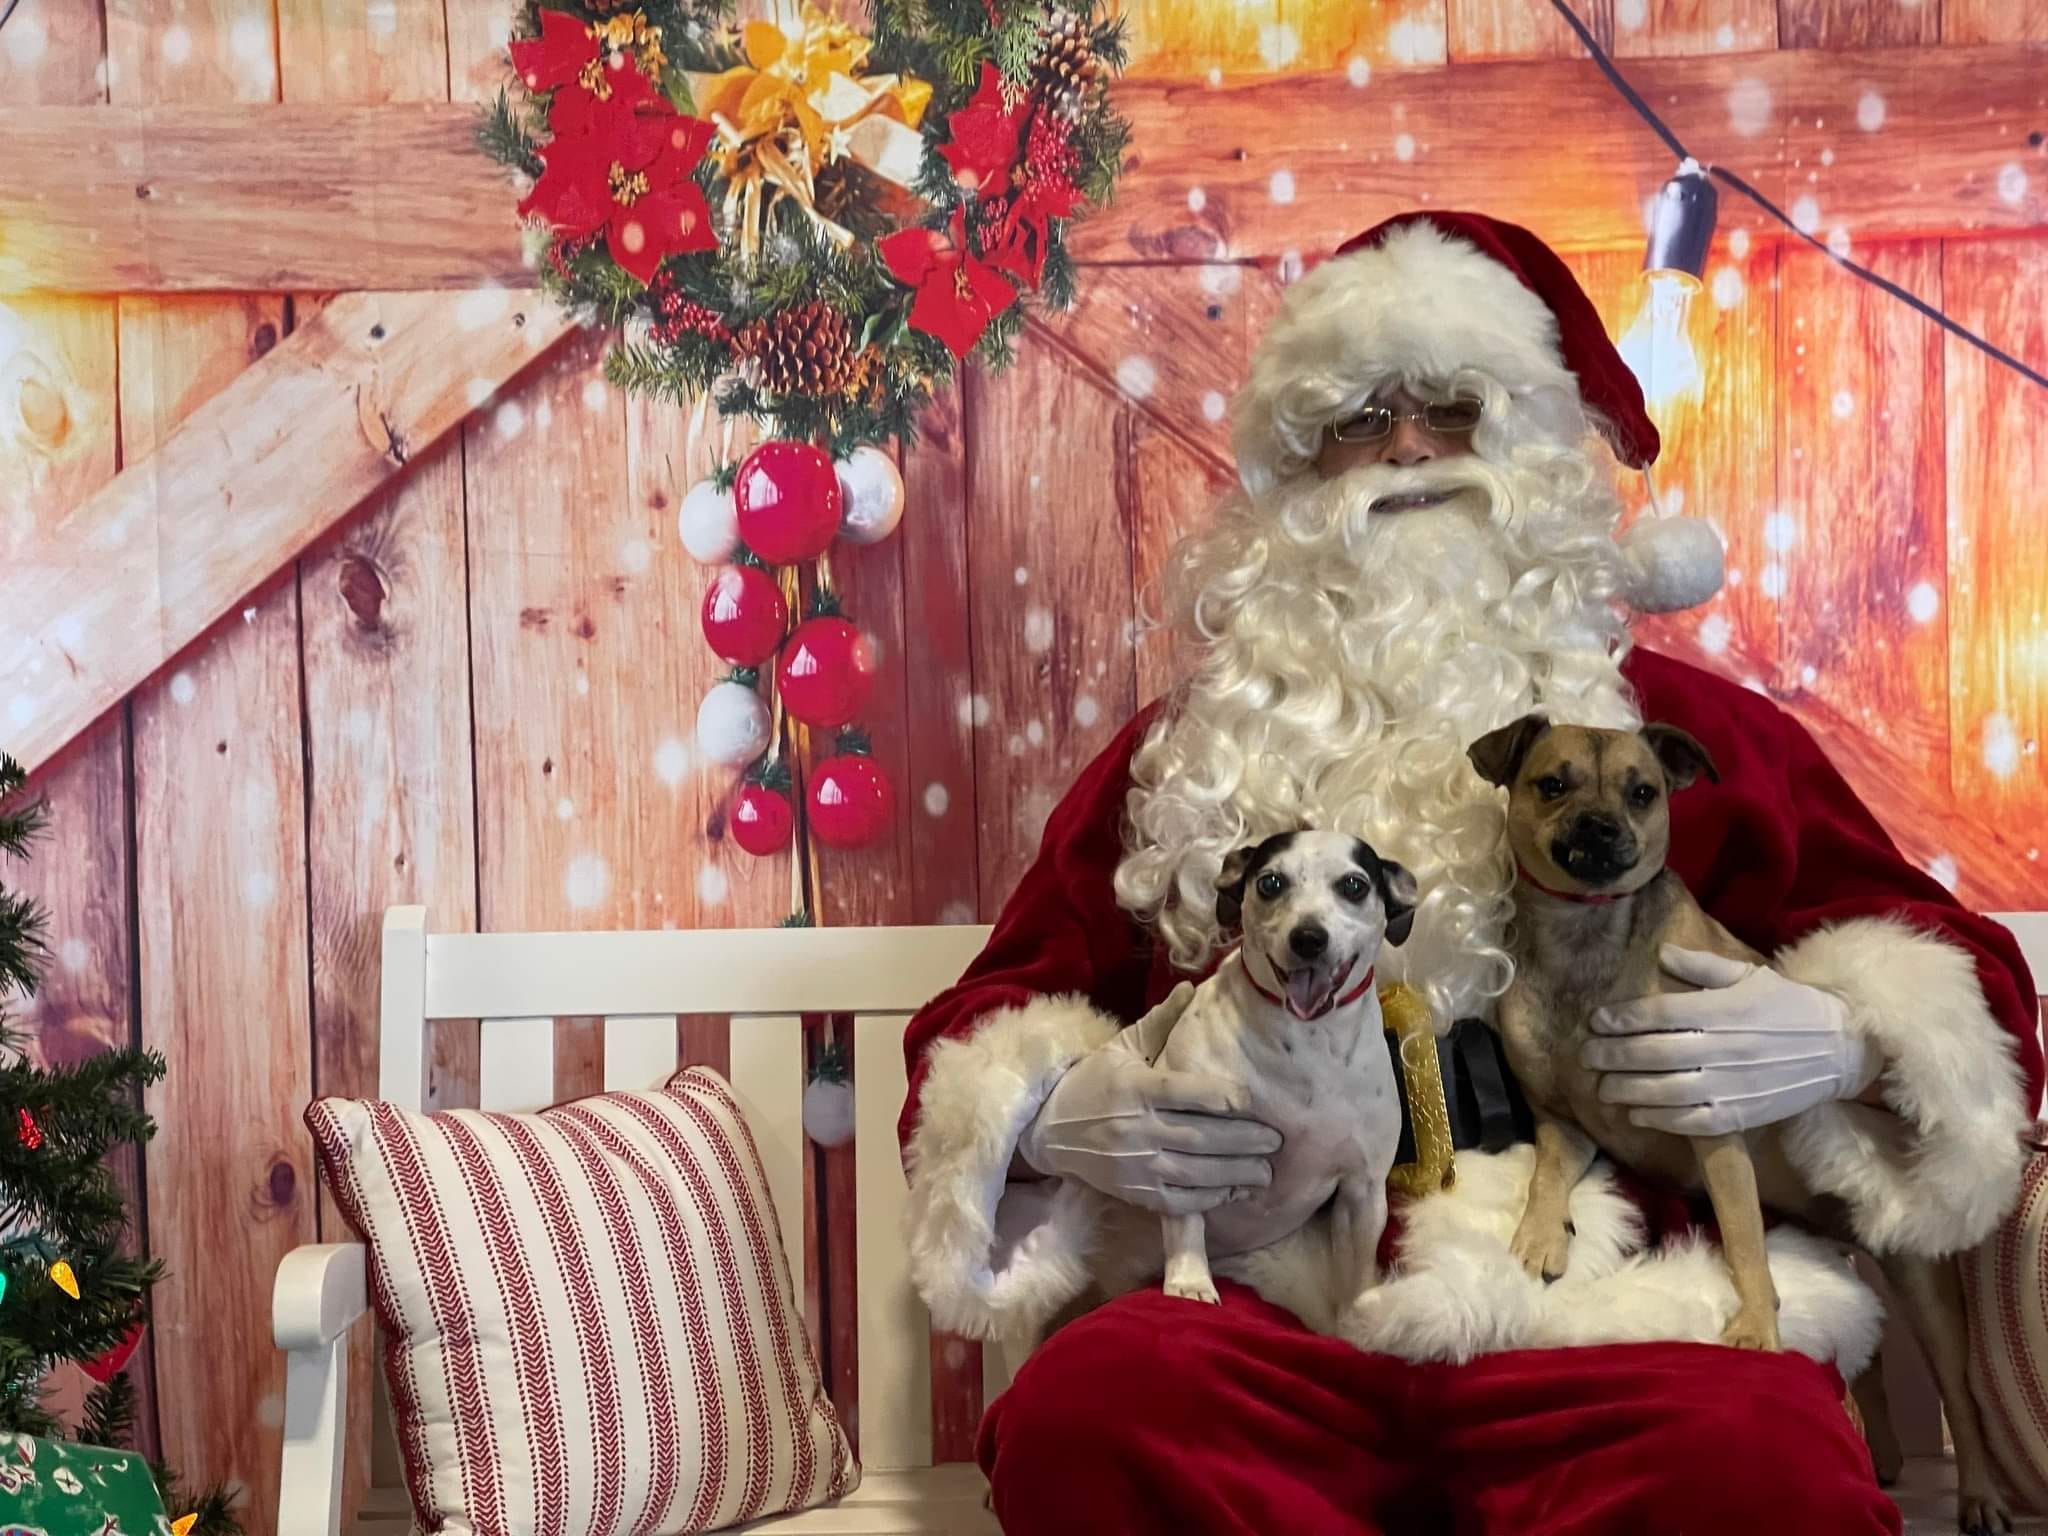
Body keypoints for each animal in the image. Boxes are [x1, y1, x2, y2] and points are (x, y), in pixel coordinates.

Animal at [1142, 829, 1416, 1317]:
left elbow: (1357, 1271)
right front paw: (1190, 1282)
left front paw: (1359, 1320)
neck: (1307, 1045)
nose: (1308, 938)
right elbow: (1186, 1223)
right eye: (1270, 883)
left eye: (1354, 885)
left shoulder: (1362, 1190)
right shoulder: (1188, 1155)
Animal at [1470, 714, 2012, 1534]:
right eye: (1552, 784)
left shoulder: (1714, 1129)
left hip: (1926, 1289)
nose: (1599, 827)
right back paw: (1881, 1454)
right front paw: (1538, 1237)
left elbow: (1744, 1245)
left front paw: (1756, 1329)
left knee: (1963, 1398)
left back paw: (1978, 1495)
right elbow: (1545, 1179)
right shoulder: (1562, 1122)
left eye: (1642, 792)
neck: (1582, 934)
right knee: (1868, 1357)